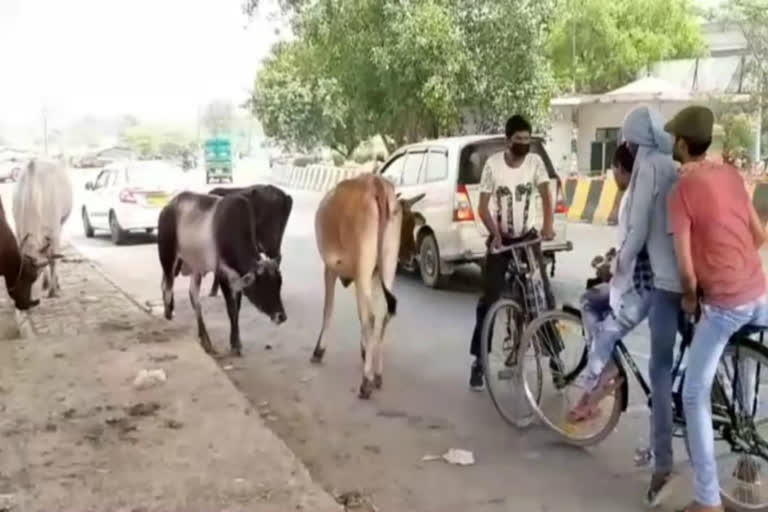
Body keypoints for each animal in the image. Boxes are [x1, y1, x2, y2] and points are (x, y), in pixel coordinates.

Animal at [12, 158, 73, 298]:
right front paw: (47, 284)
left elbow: (53, 259)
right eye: (20, 273)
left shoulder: (55, 231)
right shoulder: (18, 230)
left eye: (36, 273)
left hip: (61, 223)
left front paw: (53, 290)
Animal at [158, 192, 286, 356]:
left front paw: (236, 342)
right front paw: (235, 345)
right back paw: (168, 314)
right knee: (167, 286)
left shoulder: (237, 280)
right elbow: (231, 309)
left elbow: (237, 309)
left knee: (192, 297)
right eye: (263, 287)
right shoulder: (222, 275)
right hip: (169, 259)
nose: (281, 316)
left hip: (194, 267)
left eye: (279, 285)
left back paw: (205, 339)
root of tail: (167, 207)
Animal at [308, 174, 424, 398]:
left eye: (413, 223)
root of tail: (376, 183)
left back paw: (366, 382)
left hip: (363, 266)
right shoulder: (373, 276)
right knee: (383, 315)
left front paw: (319, 349)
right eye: (407, 223)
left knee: (369, 317)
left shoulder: (331, 269)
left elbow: (329, 309)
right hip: (386, 267)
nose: (413, 256)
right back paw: (376, 375)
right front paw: (365, 352)